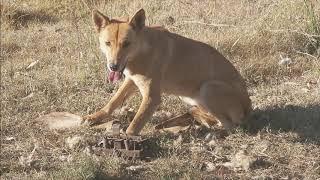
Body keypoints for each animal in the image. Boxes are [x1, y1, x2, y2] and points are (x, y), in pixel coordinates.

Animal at [83, 8, 252, 135]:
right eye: (107, 43)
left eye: (126, 44)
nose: (113, 66)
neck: (142, 51)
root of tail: (248, 110)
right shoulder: (131, 80)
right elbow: (113, 102)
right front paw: (94, 117)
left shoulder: (152, 98)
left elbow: (134, 126)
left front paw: (126, 135)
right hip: (189, 97)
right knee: (209, 119)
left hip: (208, 88)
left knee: (229, 127)